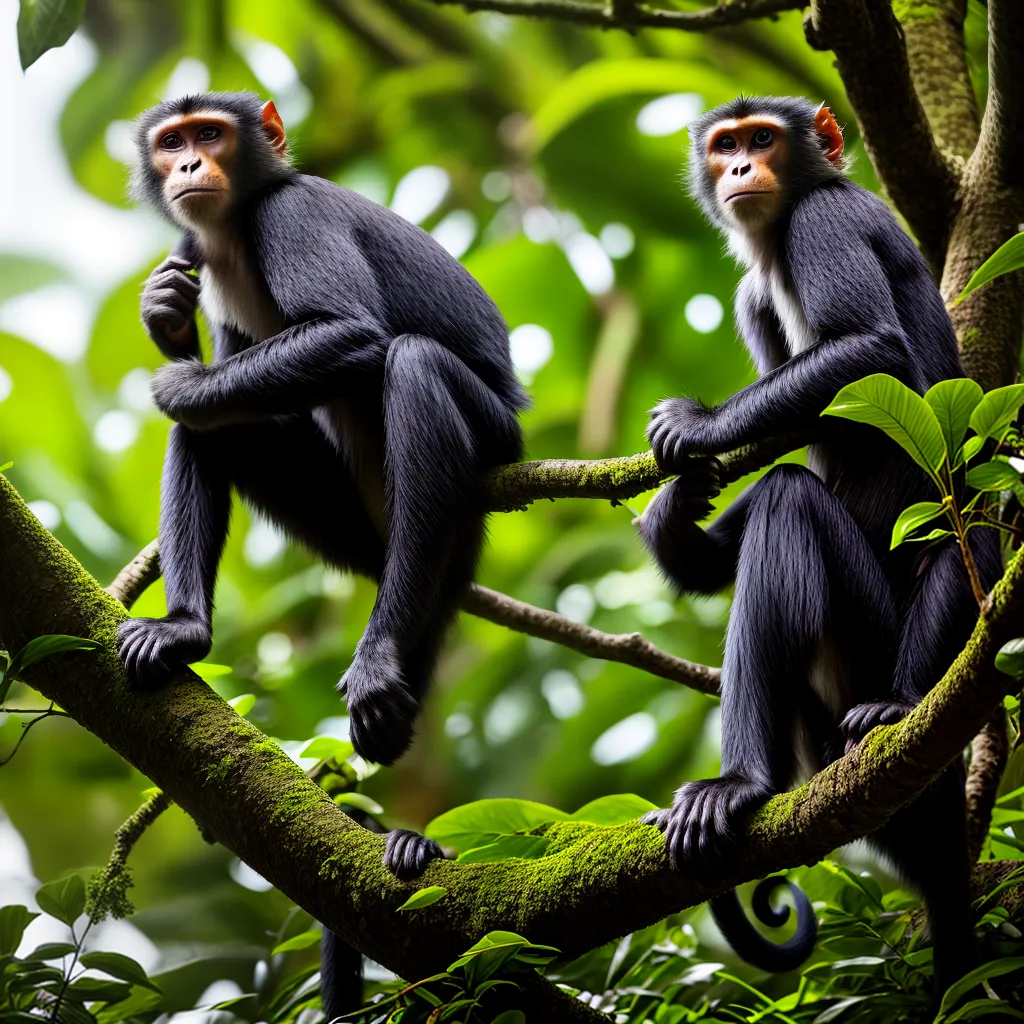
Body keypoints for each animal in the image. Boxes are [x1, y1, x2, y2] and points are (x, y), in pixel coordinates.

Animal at [121, 92, 528, 782]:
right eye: (172, 142)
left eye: (209, 135)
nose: (191, 165)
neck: (234, 229)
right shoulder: (191, 244)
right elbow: (222, 379)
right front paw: (163, 313)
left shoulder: (292, 214)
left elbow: (349, 331)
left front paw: (177, 382)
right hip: (348, 530)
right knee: (213, 429)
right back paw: (185, 630)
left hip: (495, 443)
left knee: (415, 363)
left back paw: (380, 654)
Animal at [636, 96, 1002, 995]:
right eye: (725, 145)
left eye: (763, 139)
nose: (739, 168)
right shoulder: (751, 298)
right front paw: (676, 518)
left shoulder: (823, 223)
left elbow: (868, 350)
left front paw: (698, 425)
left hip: (868, 644)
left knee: (803, 507)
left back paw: (752, 779)